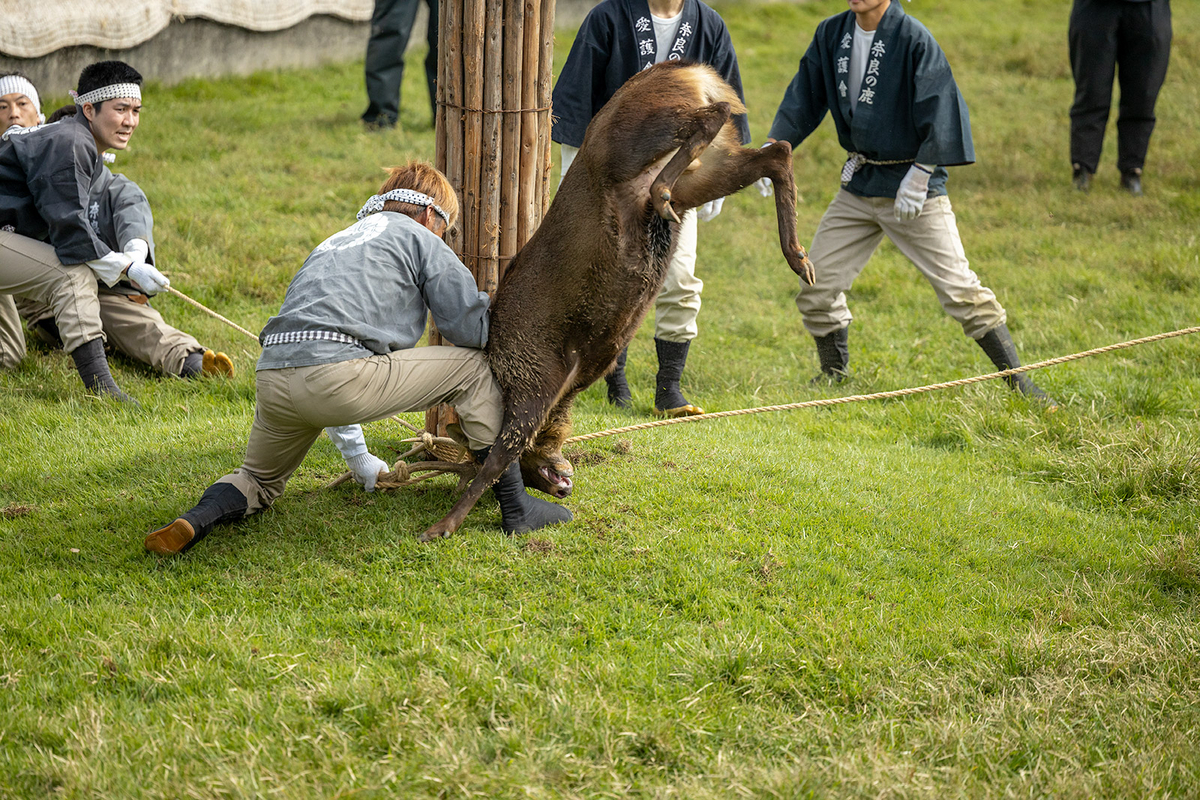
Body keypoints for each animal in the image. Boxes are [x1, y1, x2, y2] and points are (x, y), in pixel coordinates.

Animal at [417, 57, 811, 544]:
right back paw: (799, 258)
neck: (566, 389)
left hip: (634, 143)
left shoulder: (535, 379)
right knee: (777, 153)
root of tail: (688, 70)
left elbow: (496, 461)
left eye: (469, 455)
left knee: (715, 118)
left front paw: (441, 526)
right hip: (705, 175)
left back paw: (666, 191)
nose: (563, 483)